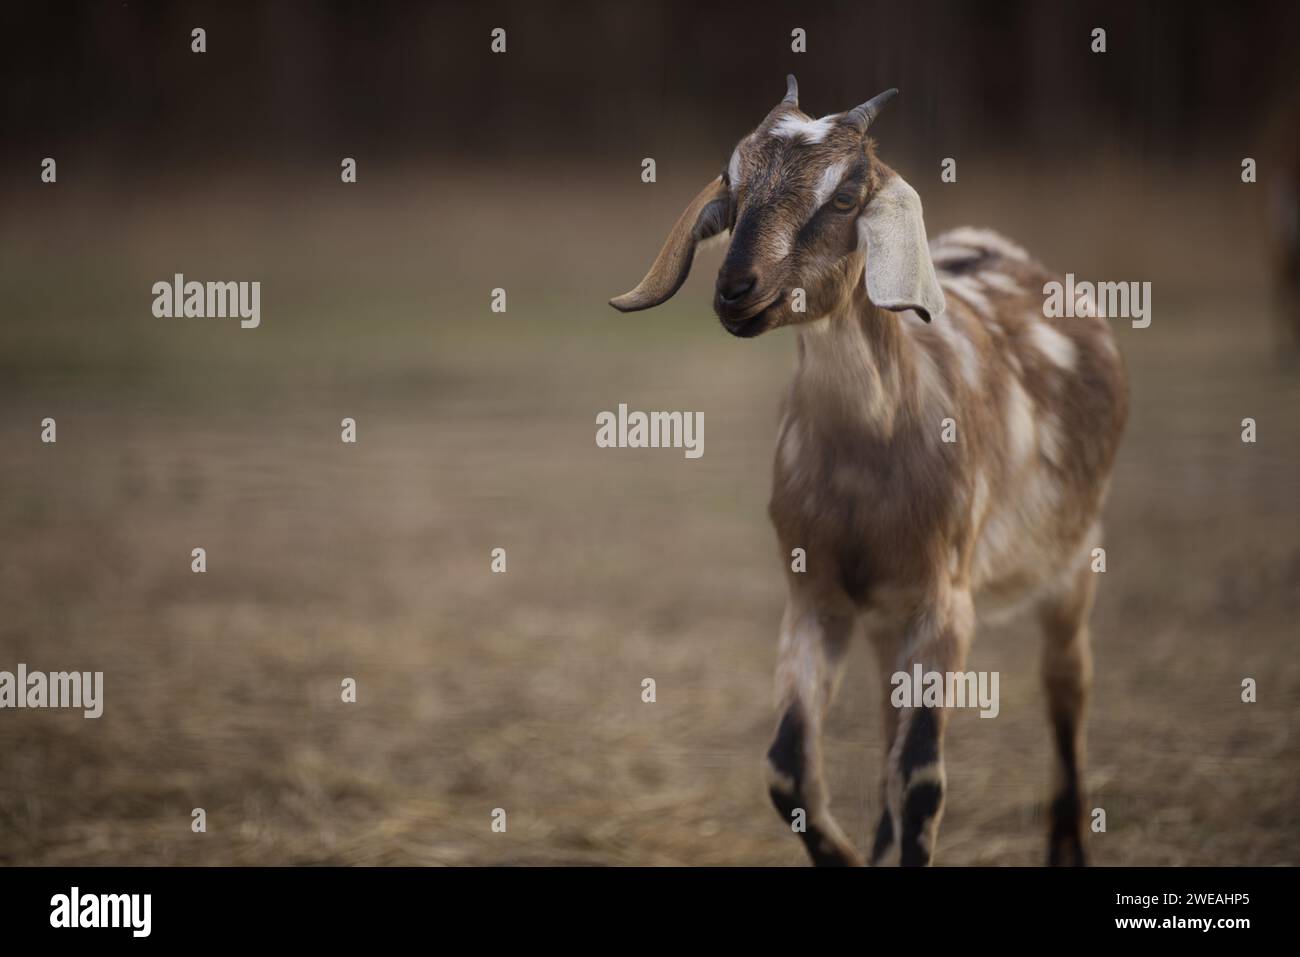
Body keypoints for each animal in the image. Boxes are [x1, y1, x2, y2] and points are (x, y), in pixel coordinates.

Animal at [610, 76, 1127, 866]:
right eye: (733, 183)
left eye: (847, 194)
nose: (734, 288)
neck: (868, 458)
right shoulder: (815, 596)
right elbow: (788, 768)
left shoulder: (945, 600)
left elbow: (920, 779)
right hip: (889, 617)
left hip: (1071, 566)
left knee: (1068, 694)